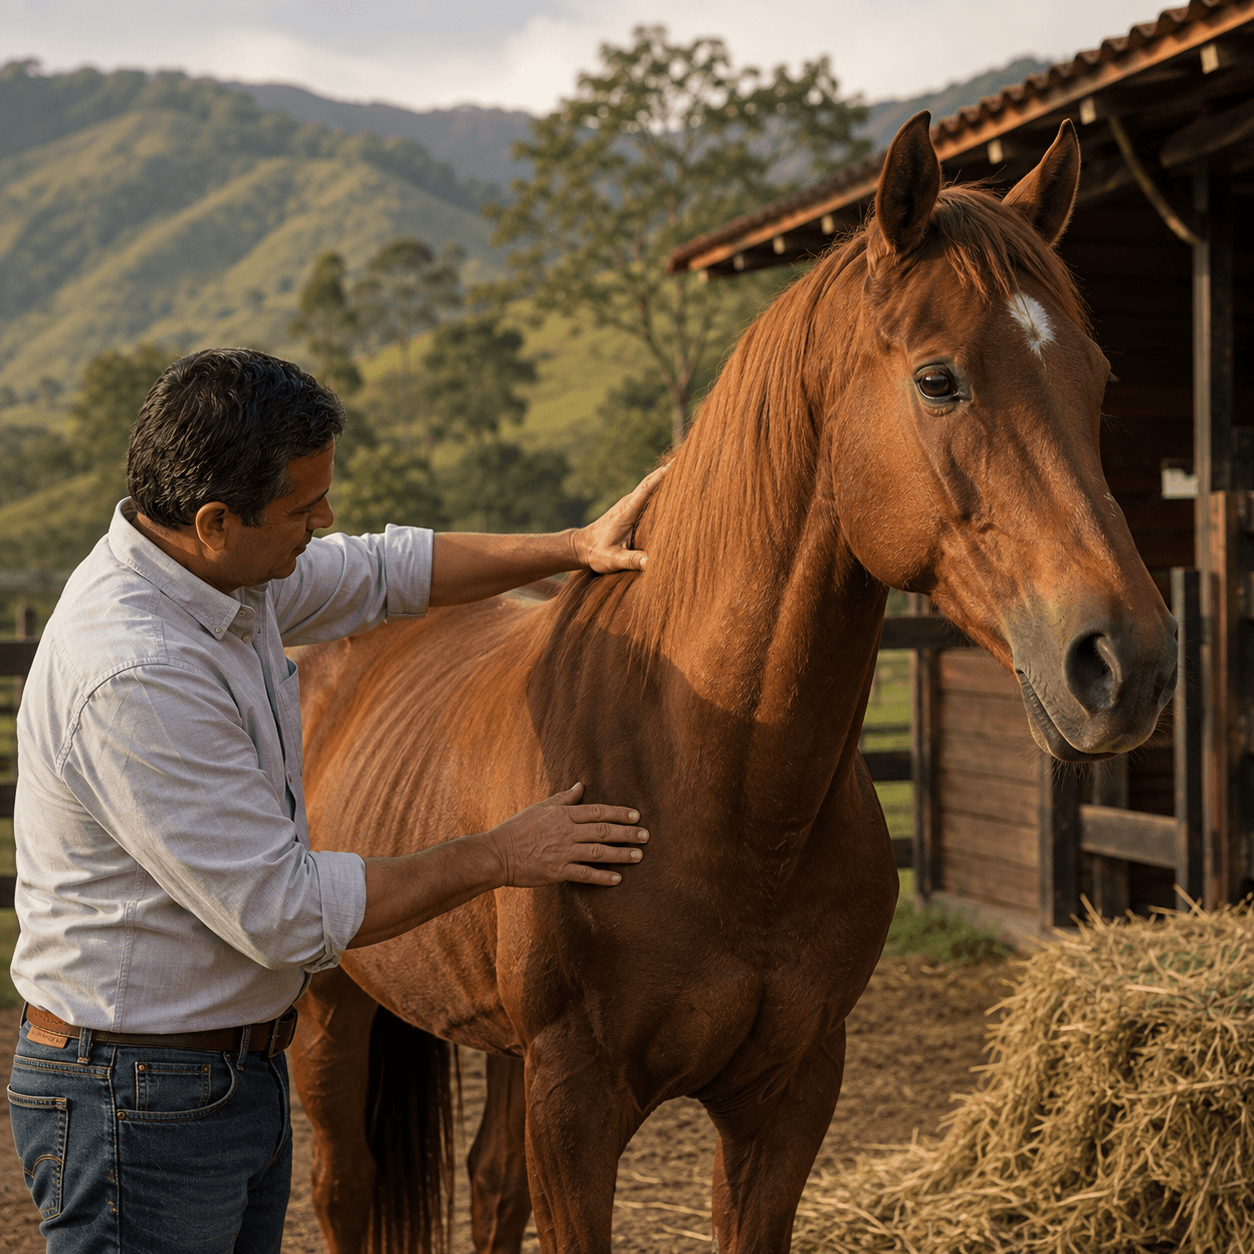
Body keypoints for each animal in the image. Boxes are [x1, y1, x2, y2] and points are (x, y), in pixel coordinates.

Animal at [291, 112, 1178, 1254]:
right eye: (939, 379)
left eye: (1099, 380)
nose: (1128, 661)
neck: (708, 778)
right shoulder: (576, 1107)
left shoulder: (788, 1097)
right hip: (329, 1010)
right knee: (343, 1187)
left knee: (490, 1183)